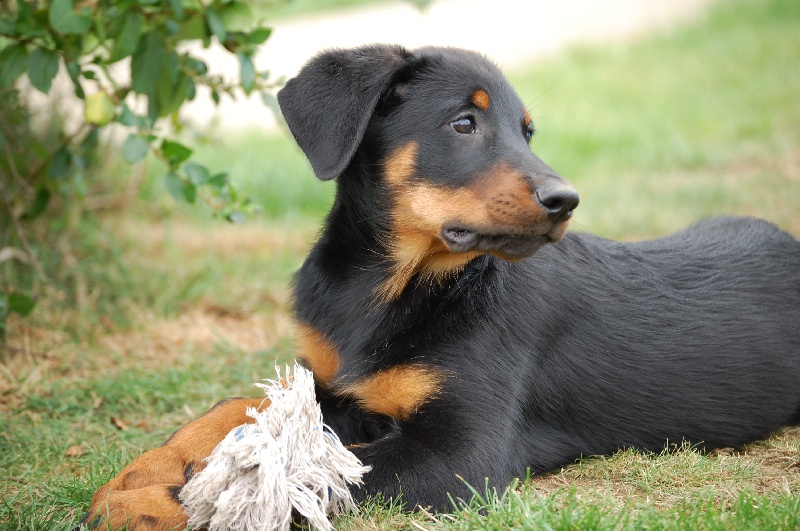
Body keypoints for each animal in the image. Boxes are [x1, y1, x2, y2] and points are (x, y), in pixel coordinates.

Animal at [83, 44, 800, 528]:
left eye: (527, 132)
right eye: (463, 123)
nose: (565, 200)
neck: (386, 287)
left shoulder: (461, 452)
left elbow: (299, 476)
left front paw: (161, 505)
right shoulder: (332, 382)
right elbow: (235, 410)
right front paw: (137, 476)